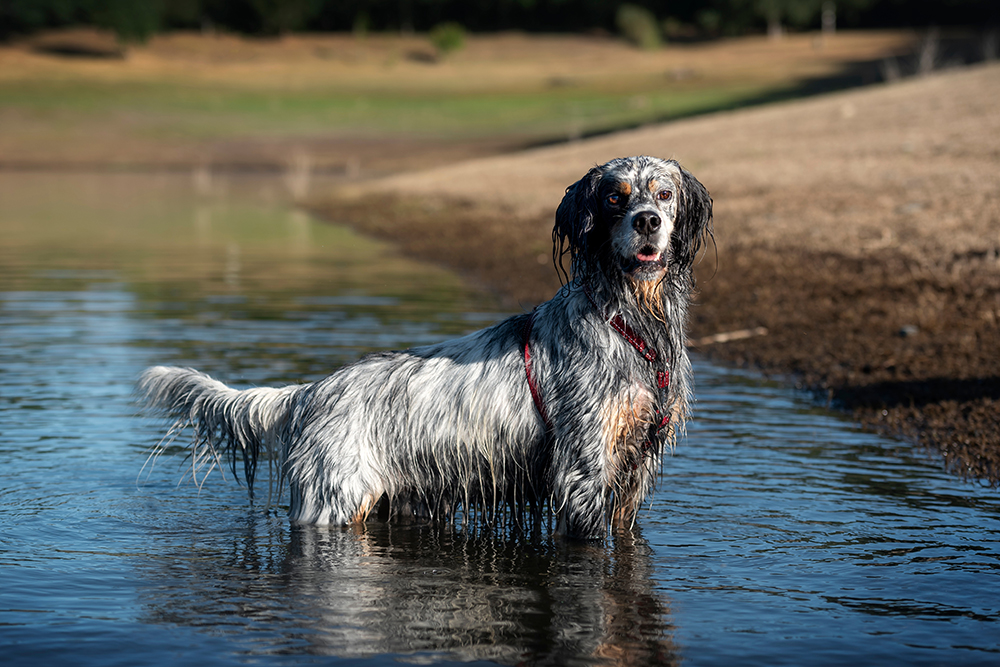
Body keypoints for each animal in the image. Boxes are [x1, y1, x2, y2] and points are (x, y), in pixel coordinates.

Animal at [139, 155, 712, 536]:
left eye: (664, 195)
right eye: (615, 196)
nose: (647, 222)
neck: (631, 323)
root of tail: (309, 393)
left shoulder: (634, 475)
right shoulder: (582, 474)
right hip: (336, 502)